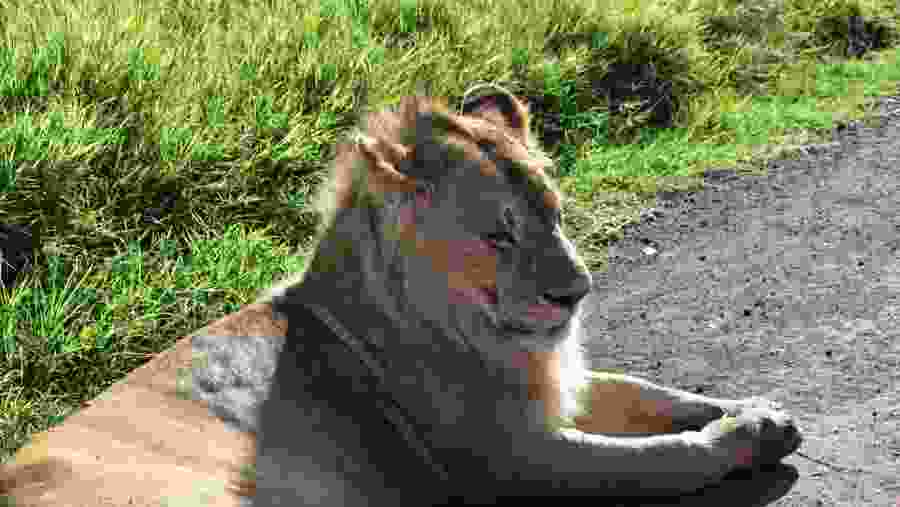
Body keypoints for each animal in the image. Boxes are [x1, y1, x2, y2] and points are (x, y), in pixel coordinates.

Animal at [245, 84, 802, 505]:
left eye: (555, 215)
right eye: (499, 235)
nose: (577, 293)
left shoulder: (548, 388)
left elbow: (645, 389)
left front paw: (759, 410)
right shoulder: (513, 459)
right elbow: (661, 456)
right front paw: (749, 434)